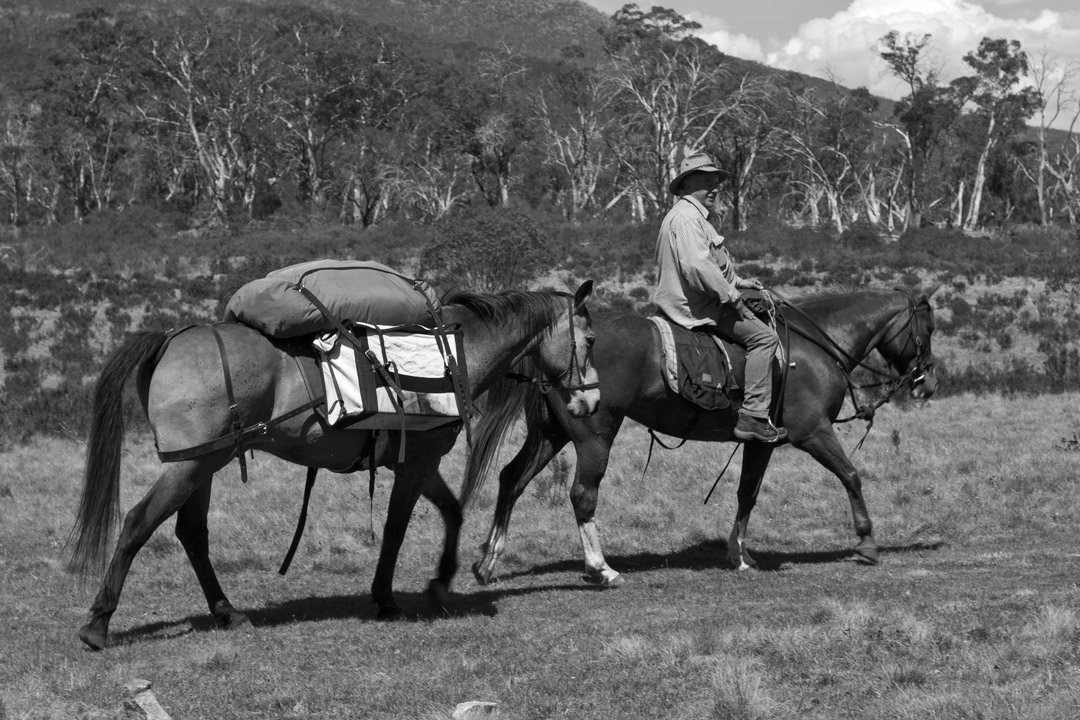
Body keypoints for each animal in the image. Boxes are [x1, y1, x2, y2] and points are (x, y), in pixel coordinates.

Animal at [65, 262, 600, 651]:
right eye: (591, 340)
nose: (590, 401)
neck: (452, 354)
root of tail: (171, 338)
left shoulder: (419, 465)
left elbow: (451, 511)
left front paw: (441, 581)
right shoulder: (416, 464)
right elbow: (398, 528)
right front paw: (387, 598)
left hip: (206, 465)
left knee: (192, 534)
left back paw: (228, 612)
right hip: (188, 467)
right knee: (138, 524)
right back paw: (97, 624)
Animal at [473, 284, 937, 587]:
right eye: (928, 330)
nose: (927, 383)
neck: (814, 347)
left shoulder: (761, 442)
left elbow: (747, 495)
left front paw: (740, 555)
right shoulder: (814, 432)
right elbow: (851, 476)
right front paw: (867, 541)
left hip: (551, 433)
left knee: (511, 479)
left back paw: (488, 562)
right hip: (593, 437)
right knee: (582, 494)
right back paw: (600, 568)